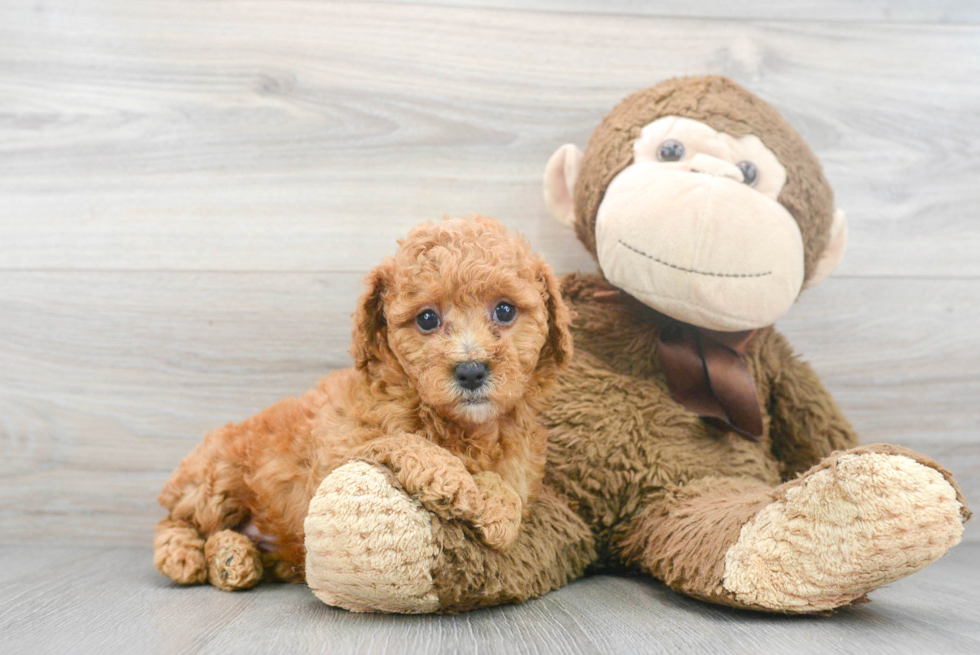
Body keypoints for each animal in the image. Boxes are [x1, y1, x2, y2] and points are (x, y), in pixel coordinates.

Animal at [149, 218, 572, 592]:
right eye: (427, 319)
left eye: (505, 310)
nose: (470, 371)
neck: (463, 427)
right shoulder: (337, 456)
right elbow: (404, 441)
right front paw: (455, 482)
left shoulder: (520, 467)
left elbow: (511, 491)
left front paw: (497, 510)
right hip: (216, 478)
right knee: (177, 521)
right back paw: (186, 556)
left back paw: (233, 558)